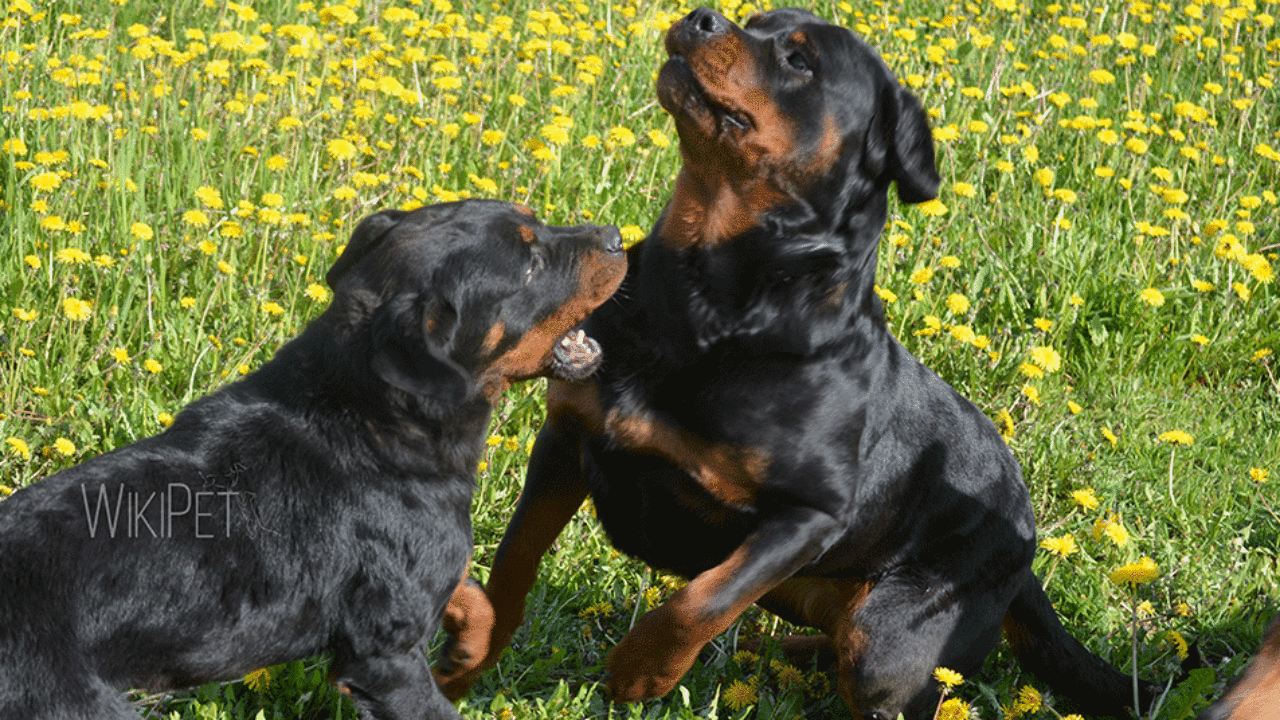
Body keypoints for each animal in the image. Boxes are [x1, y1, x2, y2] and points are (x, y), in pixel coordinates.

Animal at [0, 197, 624, 717]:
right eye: (530, 264)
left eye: (537, 220)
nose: (618, 236)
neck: (372, 408)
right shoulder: (384, 657)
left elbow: (477, 600)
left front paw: (464, 658)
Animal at [440, 11, 1162, 717]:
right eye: (751, 20)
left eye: (799, 60)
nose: (700, 18)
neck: (708, 302)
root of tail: (1028, 545)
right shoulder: (566, 438)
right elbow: (514, 559)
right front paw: (470, 654)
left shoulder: (809, 516)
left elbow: (703, 598)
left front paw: (641, 672)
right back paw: (792, 652)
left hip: (889, 635)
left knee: (895, 681)